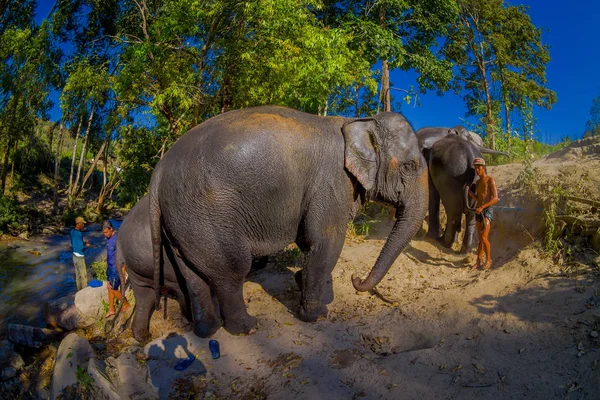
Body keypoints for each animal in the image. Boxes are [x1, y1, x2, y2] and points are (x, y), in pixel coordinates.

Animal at [150, 105, 432, 334]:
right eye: (409, 166)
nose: (356, 279)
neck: (358, 122)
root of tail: (158, 174)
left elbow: (308, 241)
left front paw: (306, 285)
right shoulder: (331, 183)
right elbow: (325, 242)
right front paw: (316, 315)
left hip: (180, 224)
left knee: (193, 277)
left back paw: (207, 331)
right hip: (206, 215)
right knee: (231, 272)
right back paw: (247, 328)